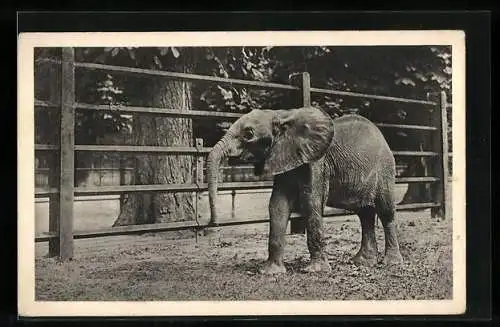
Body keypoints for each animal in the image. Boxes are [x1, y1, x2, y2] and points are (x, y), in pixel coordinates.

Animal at [205, 105, 404, 274]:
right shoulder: (284, 157)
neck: (282, 115)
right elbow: (277, 205)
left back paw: (392, 263)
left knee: (385, 211)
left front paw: (315, 271)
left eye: (248, 133)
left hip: (385, 169)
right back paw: (362, 262)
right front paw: (270, 272)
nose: (214, 224)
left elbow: (311, 203)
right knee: (365, 214)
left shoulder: (316, 163)